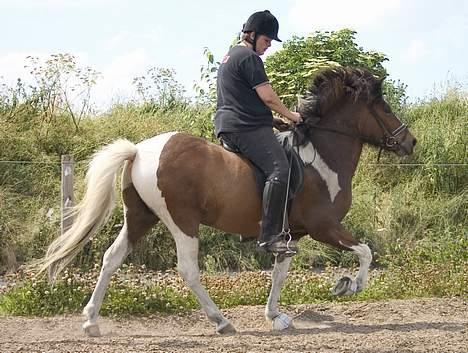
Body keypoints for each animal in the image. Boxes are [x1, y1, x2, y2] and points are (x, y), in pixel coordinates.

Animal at [33, 66, 416, 336]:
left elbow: (280, 274)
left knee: (111, 259)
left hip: (140, 217)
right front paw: (349, 285)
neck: (320, 157)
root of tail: (139, 151)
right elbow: (365, 252)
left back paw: (90, 322)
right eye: (382, 107)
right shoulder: (325, 226)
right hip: (182, 221)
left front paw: (275, 316)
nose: (409, 142)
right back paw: (221, 321)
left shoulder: (290, 235)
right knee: (188, 270)